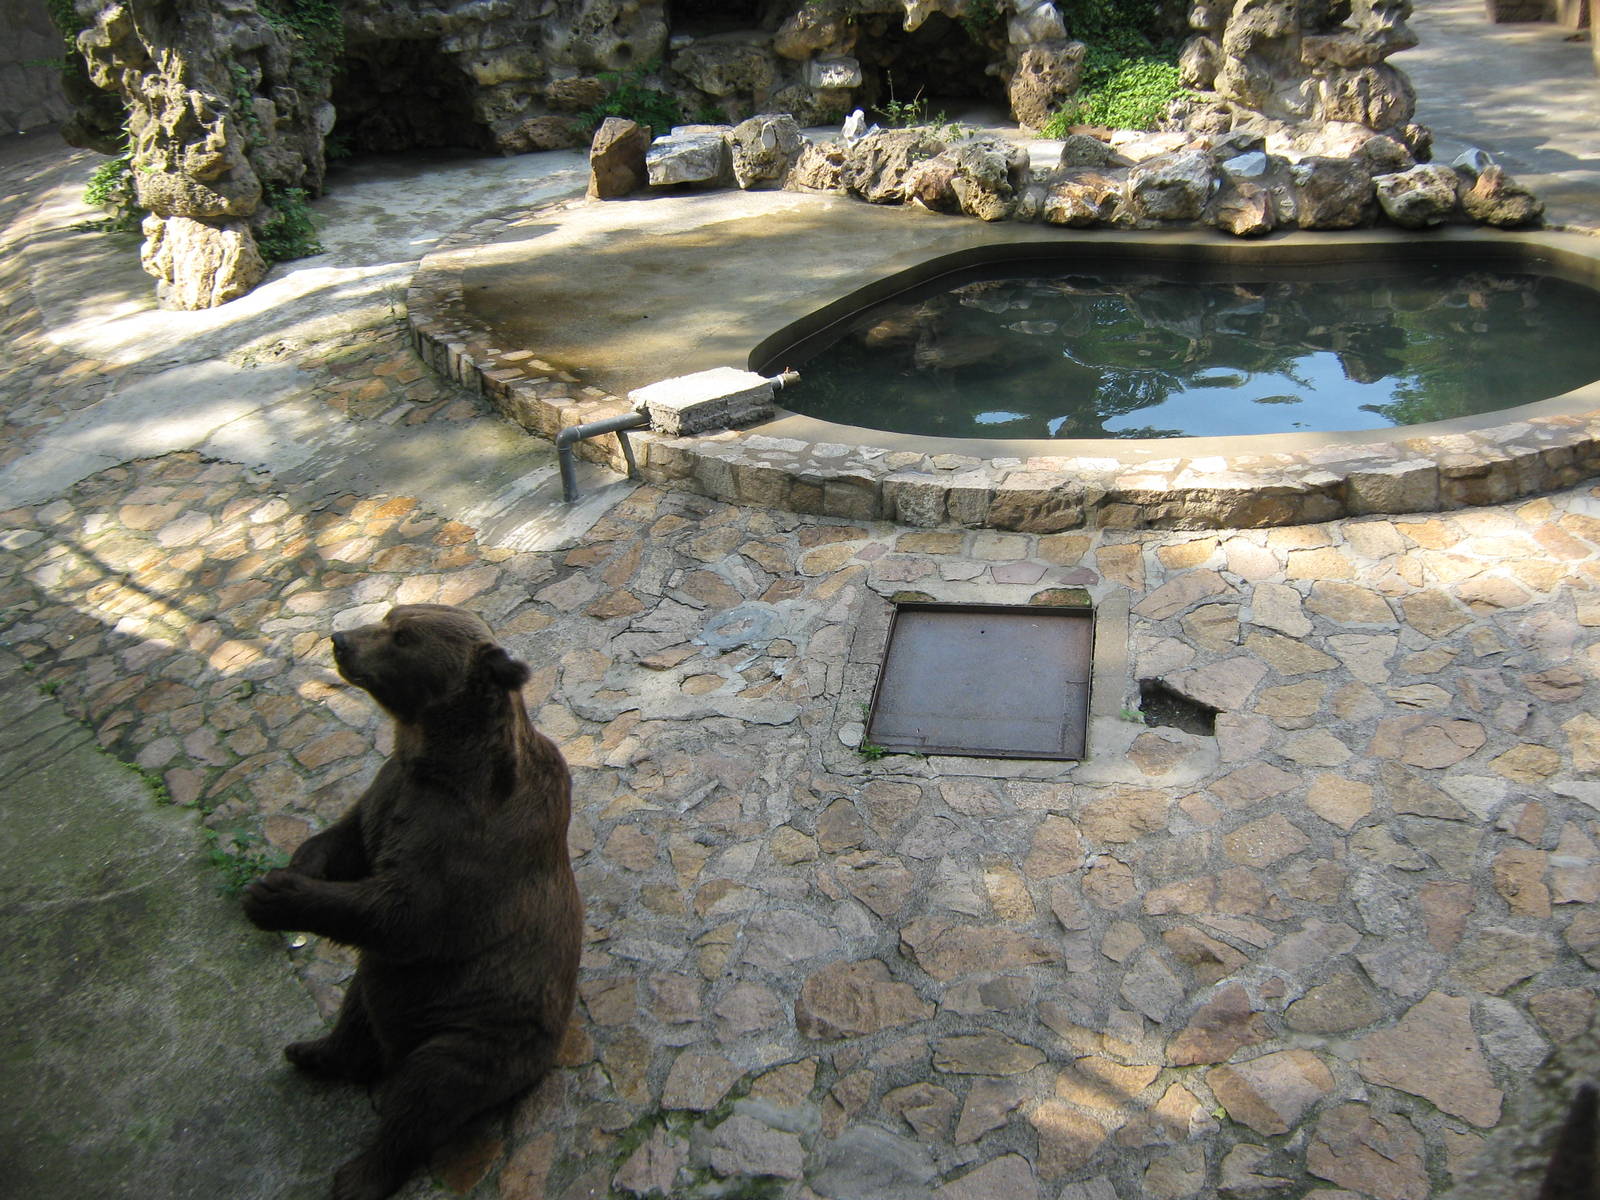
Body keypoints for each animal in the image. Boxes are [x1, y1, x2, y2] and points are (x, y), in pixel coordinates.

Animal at [243, 604, 582, 1200]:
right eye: (388, 617)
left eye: (402, 637)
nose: (339, 640)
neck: (433, 757)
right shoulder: (390, 789)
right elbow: (346, 840)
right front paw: (293, 868)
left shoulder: (466, 842)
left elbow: (403, 913)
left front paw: (271, 897)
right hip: (401, 990)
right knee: (360, 1010)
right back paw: (313, 1052)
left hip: (477, 1027)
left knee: (427, 1091)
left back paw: (358, 1174)